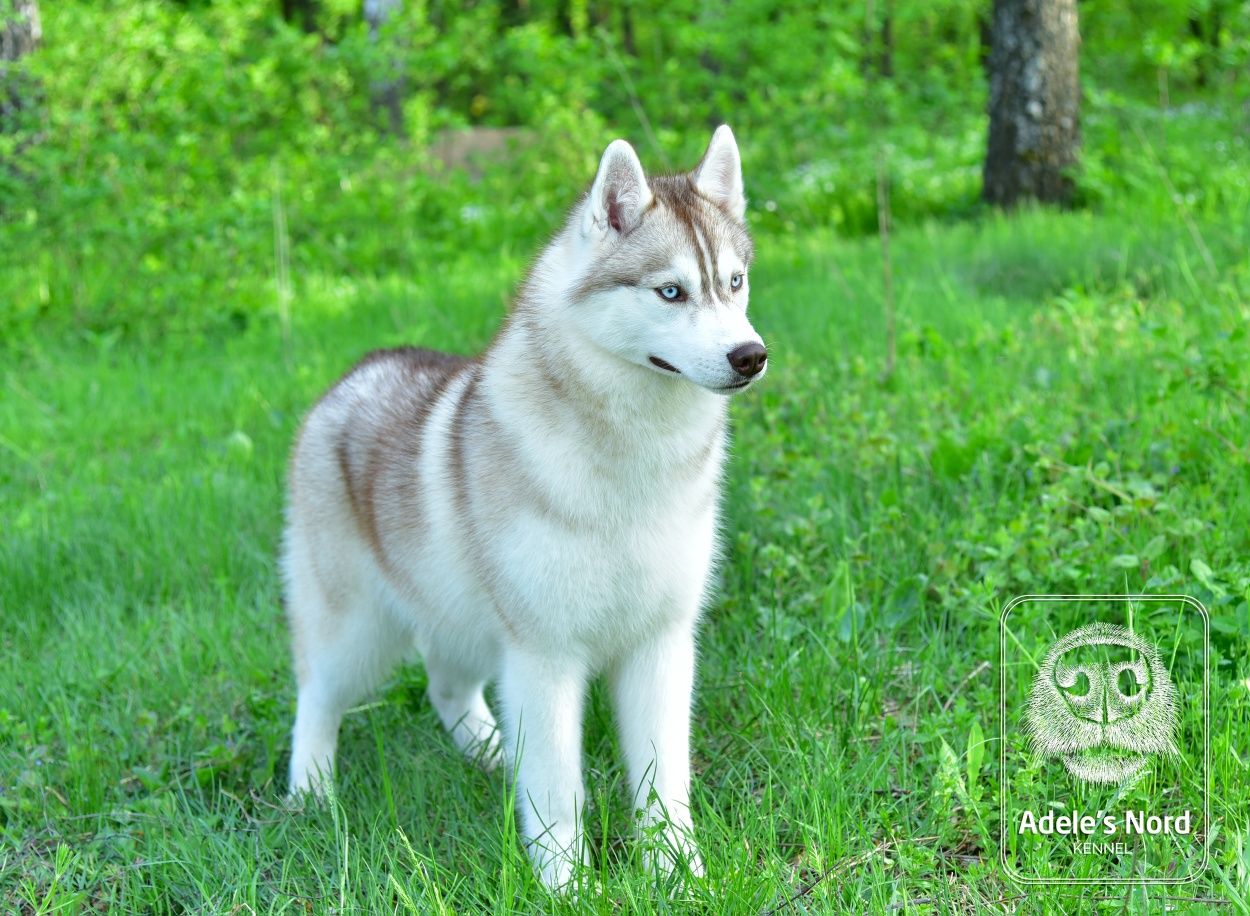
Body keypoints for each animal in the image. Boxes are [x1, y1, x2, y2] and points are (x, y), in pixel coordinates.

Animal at [283, 124, 765, 889]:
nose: (751, 355)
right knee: (316, 699)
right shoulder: (545, 653)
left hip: (463, 620)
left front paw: (677, 873)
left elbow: (664, 781)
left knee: (446, 687)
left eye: (735, 282)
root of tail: (355, 370)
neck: (632, 458)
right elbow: (557, 785)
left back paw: (491, 755)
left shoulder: (660, 642)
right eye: (670, 291)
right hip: (353, 630)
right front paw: (568, 884)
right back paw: (311, 793)